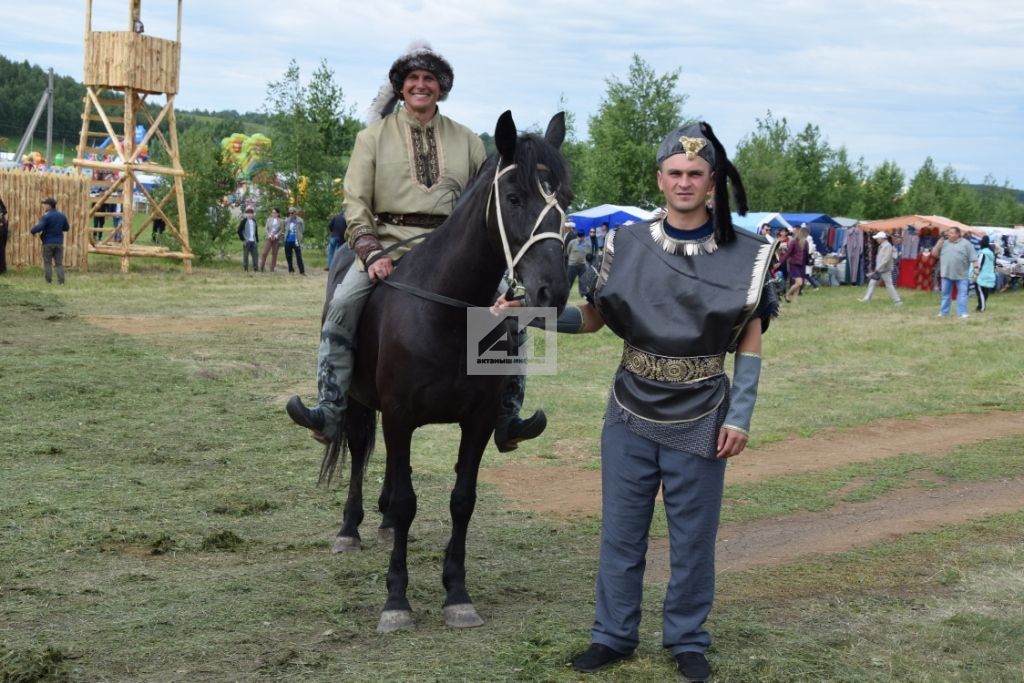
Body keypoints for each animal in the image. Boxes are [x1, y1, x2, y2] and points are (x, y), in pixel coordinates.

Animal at [319, 111, 573, 630]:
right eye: (514, 198)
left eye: (567, 200)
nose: (553, 290)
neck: (448, 314)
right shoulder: (399, 416)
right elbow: (407, 500)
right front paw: (396, 601)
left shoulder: (477, 421)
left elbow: (462, 499)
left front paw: (457, 593)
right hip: (358, 401)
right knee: (357, 448)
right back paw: (351, 528)